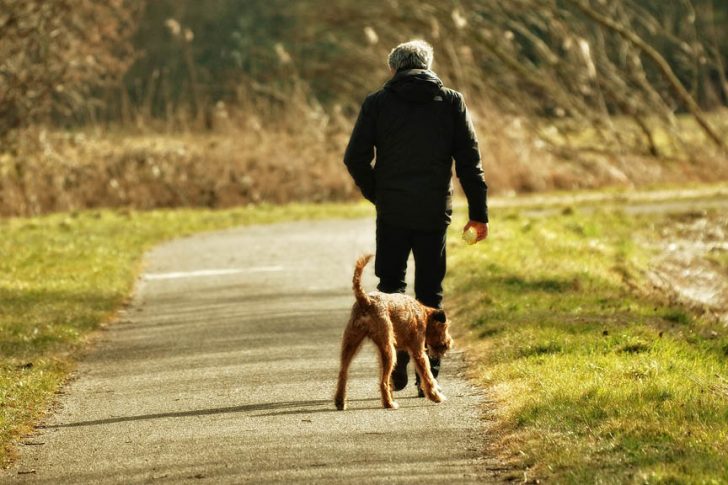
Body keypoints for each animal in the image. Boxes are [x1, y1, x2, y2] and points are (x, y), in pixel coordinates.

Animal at [336, 253, 456, 408]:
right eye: (445, 328)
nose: (449, 343)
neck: (423, 314)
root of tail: (366, 301)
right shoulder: (418, 352)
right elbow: (427, 375)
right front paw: (435, 396)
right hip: (389, 350)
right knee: (383, 381)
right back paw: (389, 403)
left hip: (351, 343)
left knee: (343, 373)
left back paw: (340, 402)